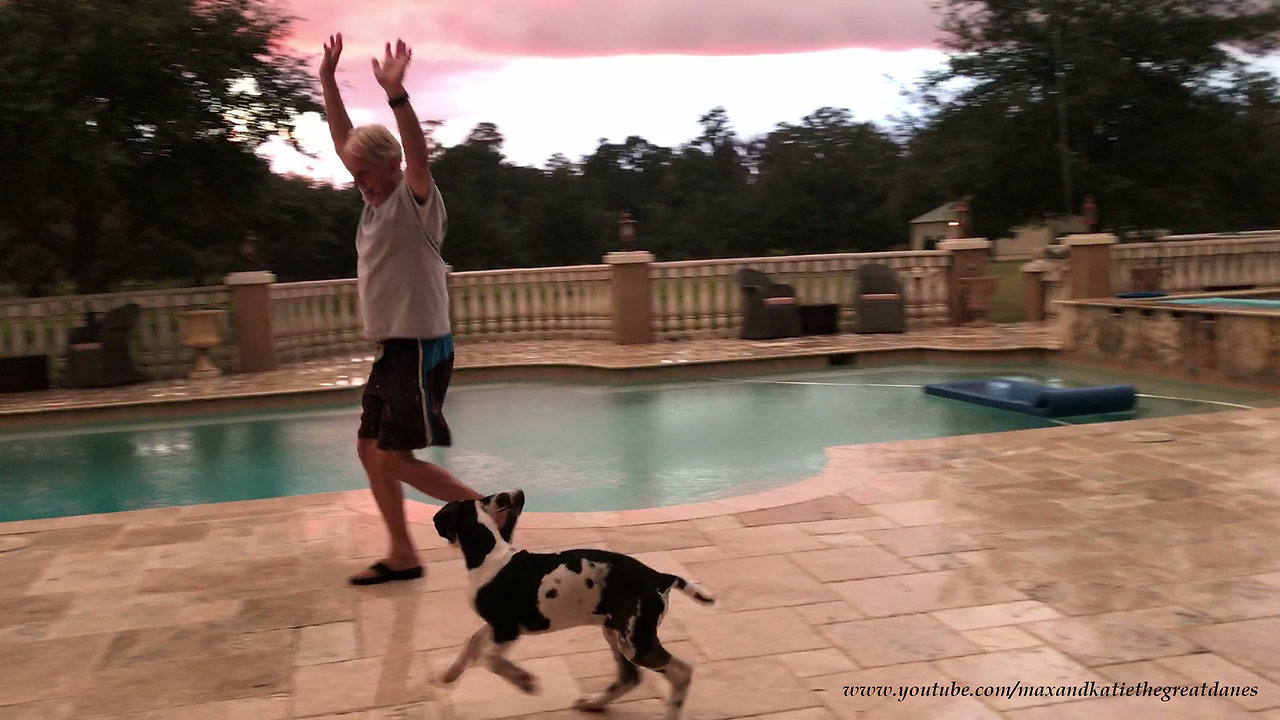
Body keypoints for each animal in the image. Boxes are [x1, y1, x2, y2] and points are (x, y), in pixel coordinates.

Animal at [432, 484, 716, 712]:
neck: (490, 556)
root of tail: (659, 577)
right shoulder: (495, 625)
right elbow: (471, 642)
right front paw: (449, 674)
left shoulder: (506, 629)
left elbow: (491, 660)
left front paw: (525, 682)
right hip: (617, 635)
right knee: (630, 678)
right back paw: (594, 703)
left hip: (636, 645)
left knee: (681, 674)